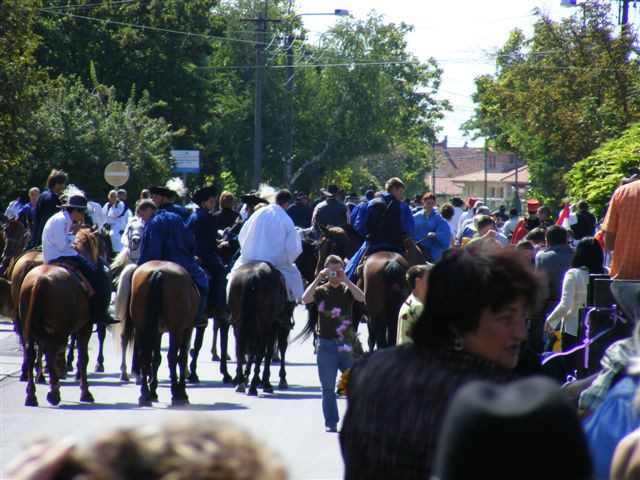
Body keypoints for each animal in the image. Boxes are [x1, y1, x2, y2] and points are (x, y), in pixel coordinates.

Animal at [19, 229, 100, 404]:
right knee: (53, 354)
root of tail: (41, 279)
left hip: (31, 327)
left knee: (32, 353)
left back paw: (32, 394)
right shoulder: (85, 327)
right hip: (59, 330)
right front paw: (85, 392)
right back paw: (54, 392)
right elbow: (83, 357)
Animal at [127, 260, 198, 406]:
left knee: (144, 356)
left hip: (141, 328)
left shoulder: (157, 332)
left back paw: (145, 394)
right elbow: (182, 358)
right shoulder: (187, 329)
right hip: (176, 331)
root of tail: (158, 272)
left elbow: (156, 359)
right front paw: (182, 391)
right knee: (172, 357)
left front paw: (153, 390)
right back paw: (175, 392)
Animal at [225, 260, 284, 396]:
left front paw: (247, 374)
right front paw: (265, 382)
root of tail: (252, 275)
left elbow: (251, 349)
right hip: (265, 323)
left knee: (240, 347)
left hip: (238, 320)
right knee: (261, 350)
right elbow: (267, 352)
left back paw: (240, 381)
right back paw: (253, 385)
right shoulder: (274, 325)